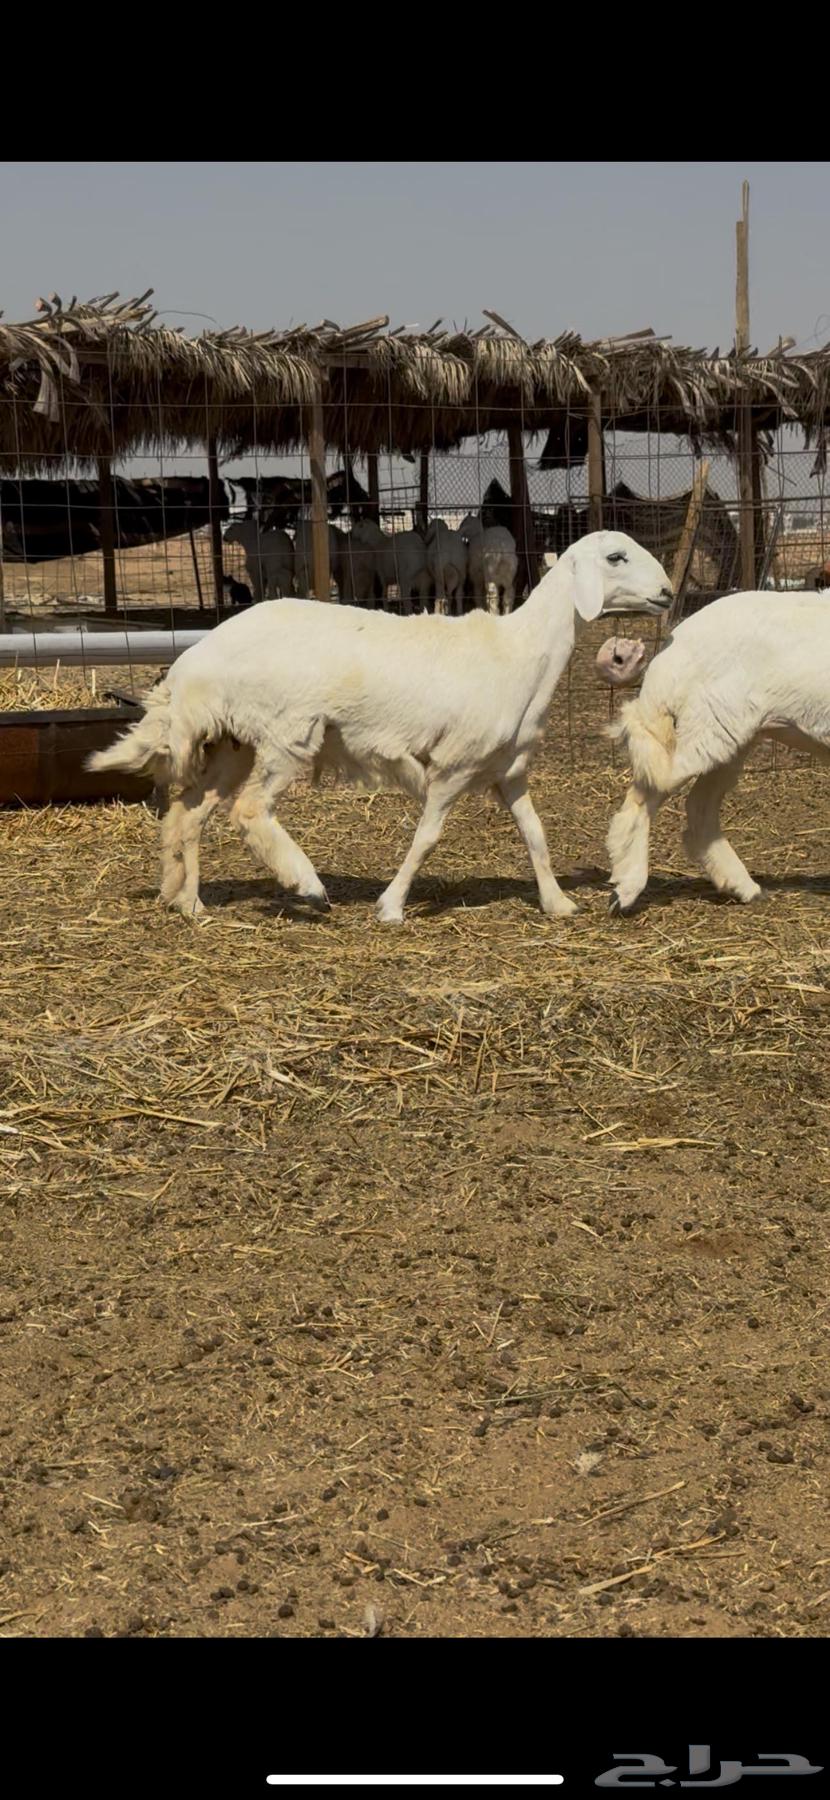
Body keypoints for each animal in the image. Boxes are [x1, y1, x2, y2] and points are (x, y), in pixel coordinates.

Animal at [86, 530, 672, 926]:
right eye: (616, 557)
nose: (667, 592)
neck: (521, 650)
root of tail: (195, 661)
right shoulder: (453, 767)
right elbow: (427, 837)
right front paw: (391, 905)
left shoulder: (508, 769)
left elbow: (536, 834)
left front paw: (557, 902)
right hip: (287, 733)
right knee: (250, 811)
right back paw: (307, 884)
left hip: (236, 743)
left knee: (188, 814)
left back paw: (187, 901)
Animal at [606, 587, 830, 916]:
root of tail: (673, 646)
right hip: (702, 730)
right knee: (641, 802)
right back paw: (626, 890)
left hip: (728, 737)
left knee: (700, 808)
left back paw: (742, 886)